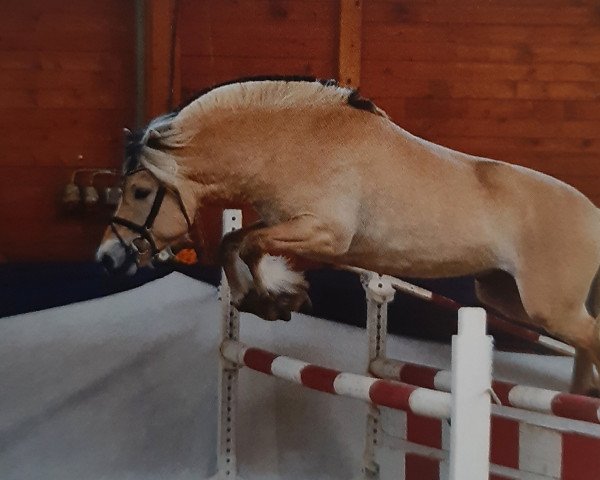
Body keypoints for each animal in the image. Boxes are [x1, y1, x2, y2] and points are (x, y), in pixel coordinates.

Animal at [96, 77, 600, 396]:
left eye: (140, 192)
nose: (107, 257)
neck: (287, 144)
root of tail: (592, 213)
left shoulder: (322, 235)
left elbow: (251, 247)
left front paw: (274, 298)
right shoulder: (286, 224)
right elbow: (233, 244)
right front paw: (262, 298)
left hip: (547, 307)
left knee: (590, 337)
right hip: (501, 295)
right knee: (585, 341)